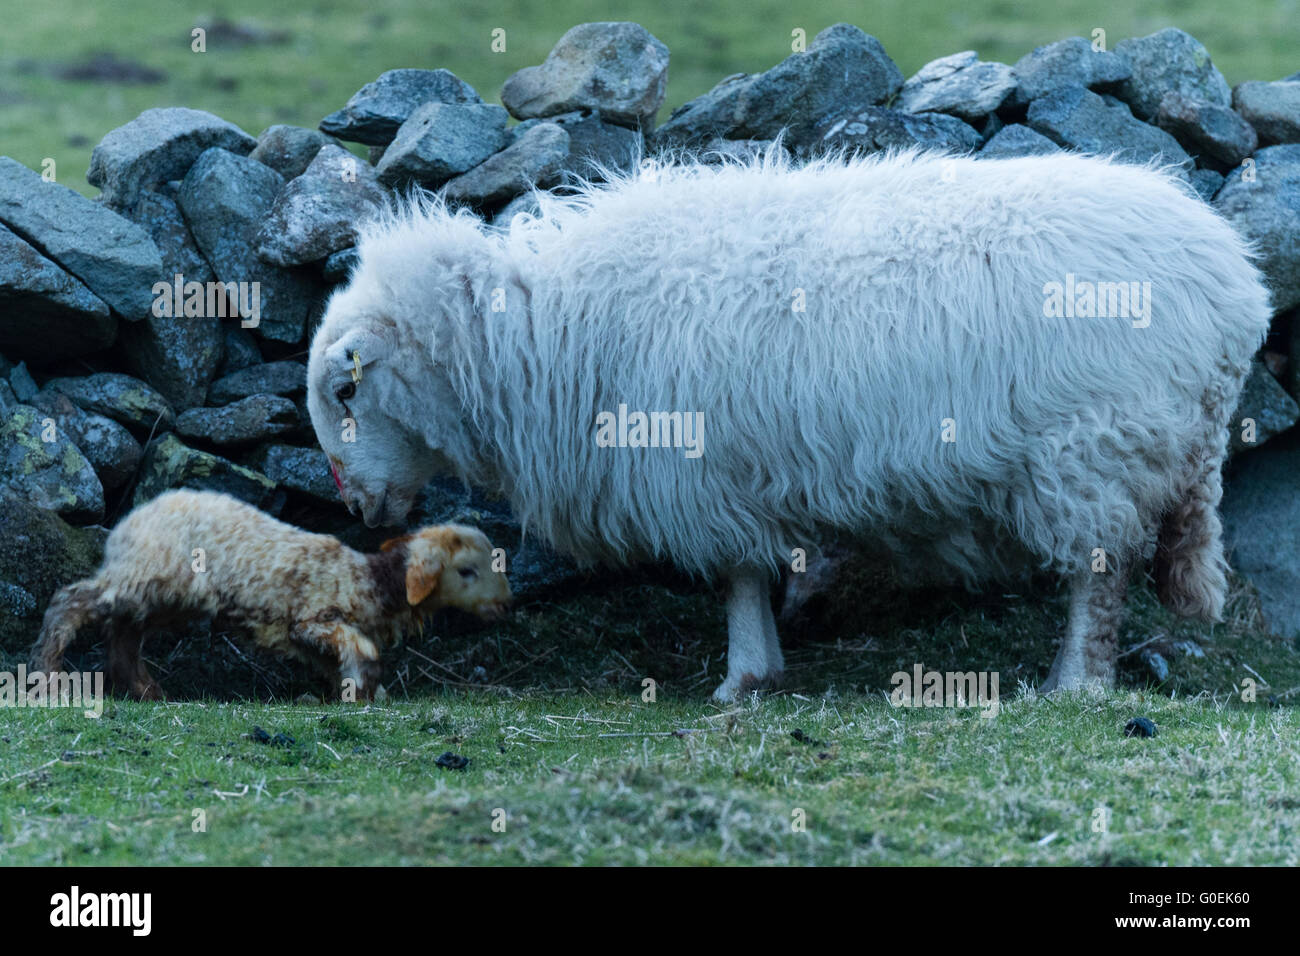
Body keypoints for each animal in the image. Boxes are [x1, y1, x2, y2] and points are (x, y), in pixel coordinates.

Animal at [32, 489, 509, 697]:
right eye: (466, 571)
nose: (505, 605)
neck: (369, 579)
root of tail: (129, 523)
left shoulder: (309, 636)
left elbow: (337, 661)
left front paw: (358, 691)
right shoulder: (313, 618)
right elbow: (361, 649)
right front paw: (362, 690)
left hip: (161, 594)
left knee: (124, 635)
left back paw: (147, 690)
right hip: (146, 577)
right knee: (69, 602)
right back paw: (47, 672)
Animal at [306, 151, 1268, 702]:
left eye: (348, 393)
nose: (356, 509)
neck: (535, 335)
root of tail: (1233, 283)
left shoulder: (700, 475)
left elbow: (735, 574)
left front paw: (740, 678)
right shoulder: (731, 477)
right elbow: (750, 571)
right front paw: (760, 670)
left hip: (1094, 450)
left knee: (1098, 579)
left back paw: (1076, 685)